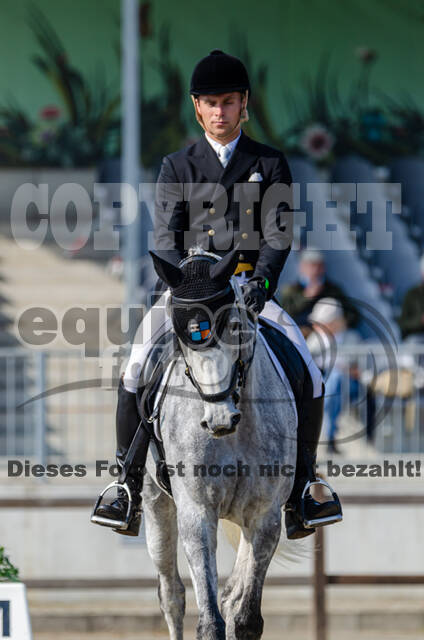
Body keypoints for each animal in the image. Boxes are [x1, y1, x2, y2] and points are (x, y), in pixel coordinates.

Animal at [141, 249, 296, 640]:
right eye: (181, 336)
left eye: (234, 327)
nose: (219, 419)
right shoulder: (196, 512)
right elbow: (210, 621)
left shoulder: (265, 516)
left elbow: (244, 617)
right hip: (155, 504)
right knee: (172, 595)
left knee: (231, 595)